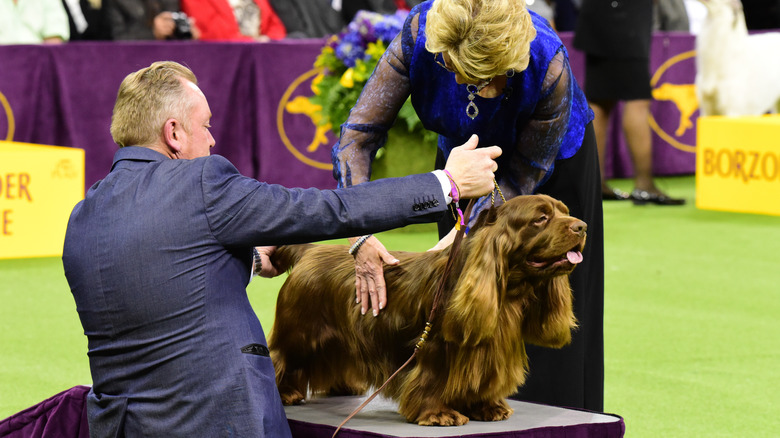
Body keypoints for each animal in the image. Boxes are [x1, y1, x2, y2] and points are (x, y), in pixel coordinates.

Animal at [268, 194, 584, 424]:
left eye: (565, 211)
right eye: (541, 218)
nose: (582, 227)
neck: (507, 291)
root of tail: (310, 250)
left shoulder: (487, 349)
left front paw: (487, 407)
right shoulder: (433, 348)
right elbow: (430, 381)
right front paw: (439, 414)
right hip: (299, 333)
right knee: (281, 356)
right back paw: (285, 393)